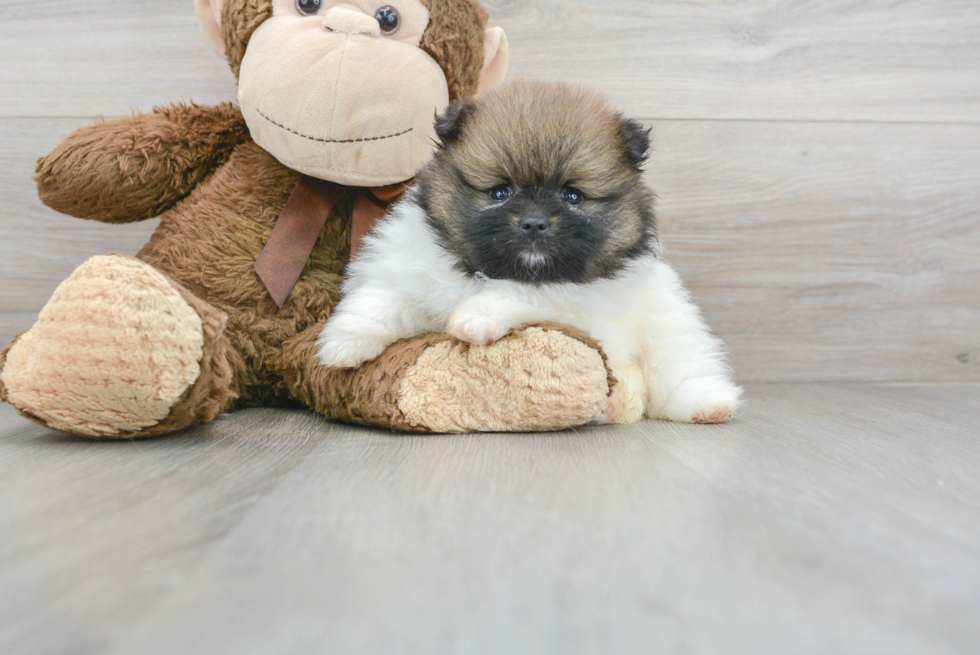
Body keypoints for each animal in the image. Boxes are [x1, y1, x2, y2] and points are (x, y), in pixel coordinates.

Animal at [322, 80, 744, 426]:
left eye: (572, 196)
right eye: (500, 192)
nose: (535, 223)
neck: (485, 269)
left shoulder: (569, 296)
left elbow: (515, 292)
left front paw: (473, 318)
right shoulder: (411, 273)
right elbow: (381, 301)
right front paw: (343, 344)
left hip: (669, 323)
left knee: (682, 367)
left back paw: (705, 405)